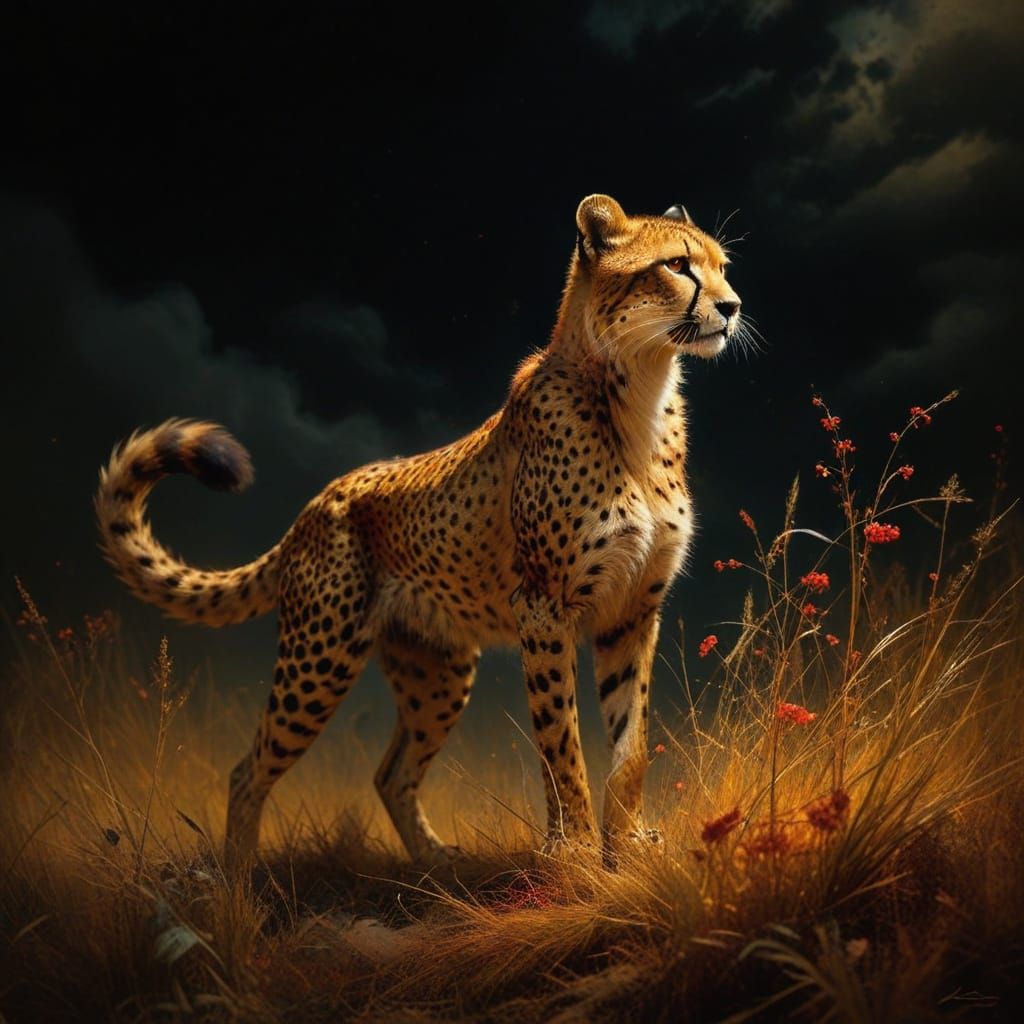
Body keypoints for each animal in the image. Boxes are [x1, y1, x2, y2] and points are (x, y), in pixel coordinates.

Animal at [95, 194, 742, 868]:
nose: (732, 306)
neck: (639, 392)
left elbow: (630, 743)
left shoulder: (631, 613)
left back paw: (435, 863)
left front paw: (633, 845)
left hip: (436, 672)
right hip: (320, 656)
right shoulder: (544, 606)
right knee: (248, 771)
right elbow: (560, 741)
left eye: (723, 267)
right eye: (677, 266)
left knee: (391, 774)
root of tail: (315, 503)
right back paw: (240, 878)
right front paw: (578, 852)